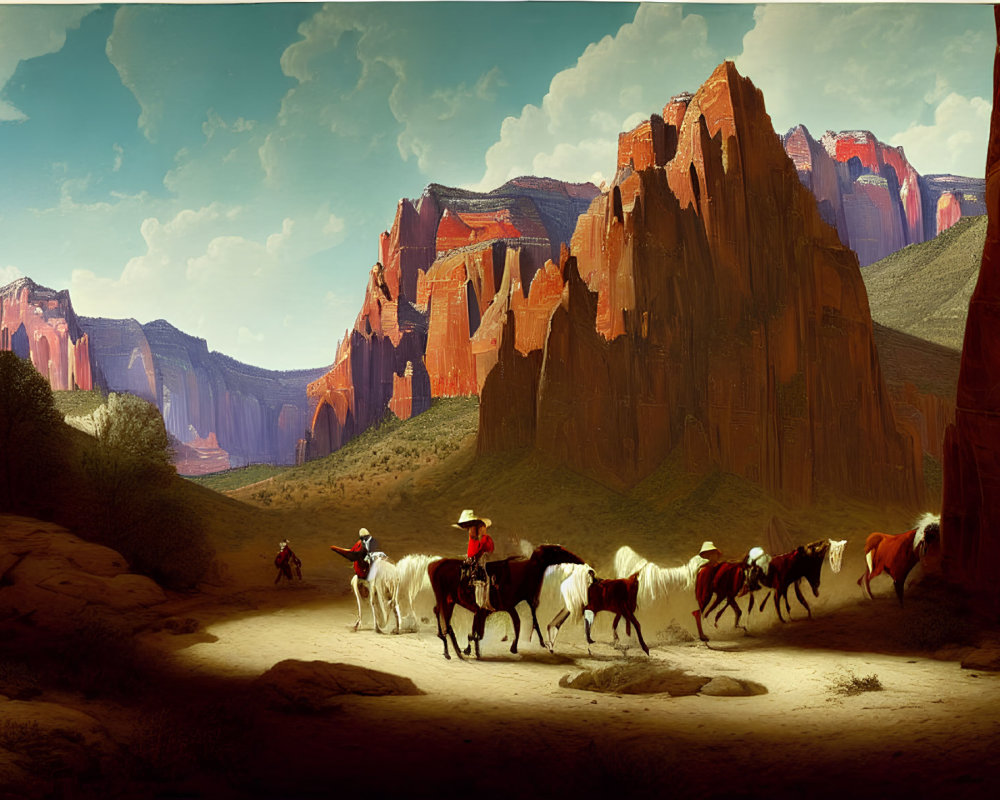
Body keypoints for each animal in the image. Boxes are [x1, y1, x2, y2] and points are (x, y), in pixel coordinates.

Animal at [426, 544, 584, 664]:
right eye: (557, 550)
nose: (578, 559)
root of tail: (435, 565)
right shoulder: (497, 608)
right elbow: (486, 630)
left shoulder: (494, 609)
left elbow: (484, 630)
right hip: (444, 599)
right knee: (442, 618)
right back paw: (450, 648)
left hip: (448, 601)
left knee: (442, 617)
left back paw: (452, 649)